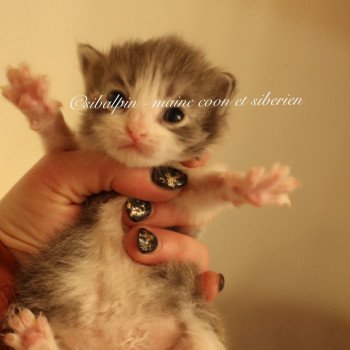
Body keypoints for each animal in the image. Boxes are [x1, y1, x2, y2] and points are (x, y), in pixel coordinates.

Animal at [1, 36, 300, 350]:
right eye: (116, 98)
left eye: (175, 115)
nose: (136, 130)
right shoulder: (73, 160)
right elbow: (59, 141)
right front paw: (36, 102)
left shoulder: (183, 213)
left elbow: (205, 193)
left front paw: (252, 185)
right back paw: (34, 337)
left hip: (198, 326)